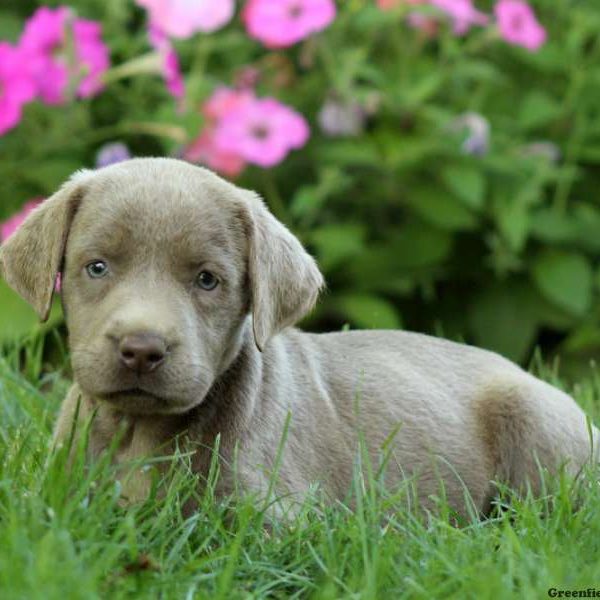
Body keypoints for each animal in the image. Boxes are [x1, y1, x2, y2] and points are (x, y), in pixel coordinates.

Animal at [0, 158, 596, 516]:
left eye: (207, 280)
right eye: (97, 267)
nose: (141, 350)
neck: (139, 433)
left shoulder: (273, 518)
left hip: (541, 430)